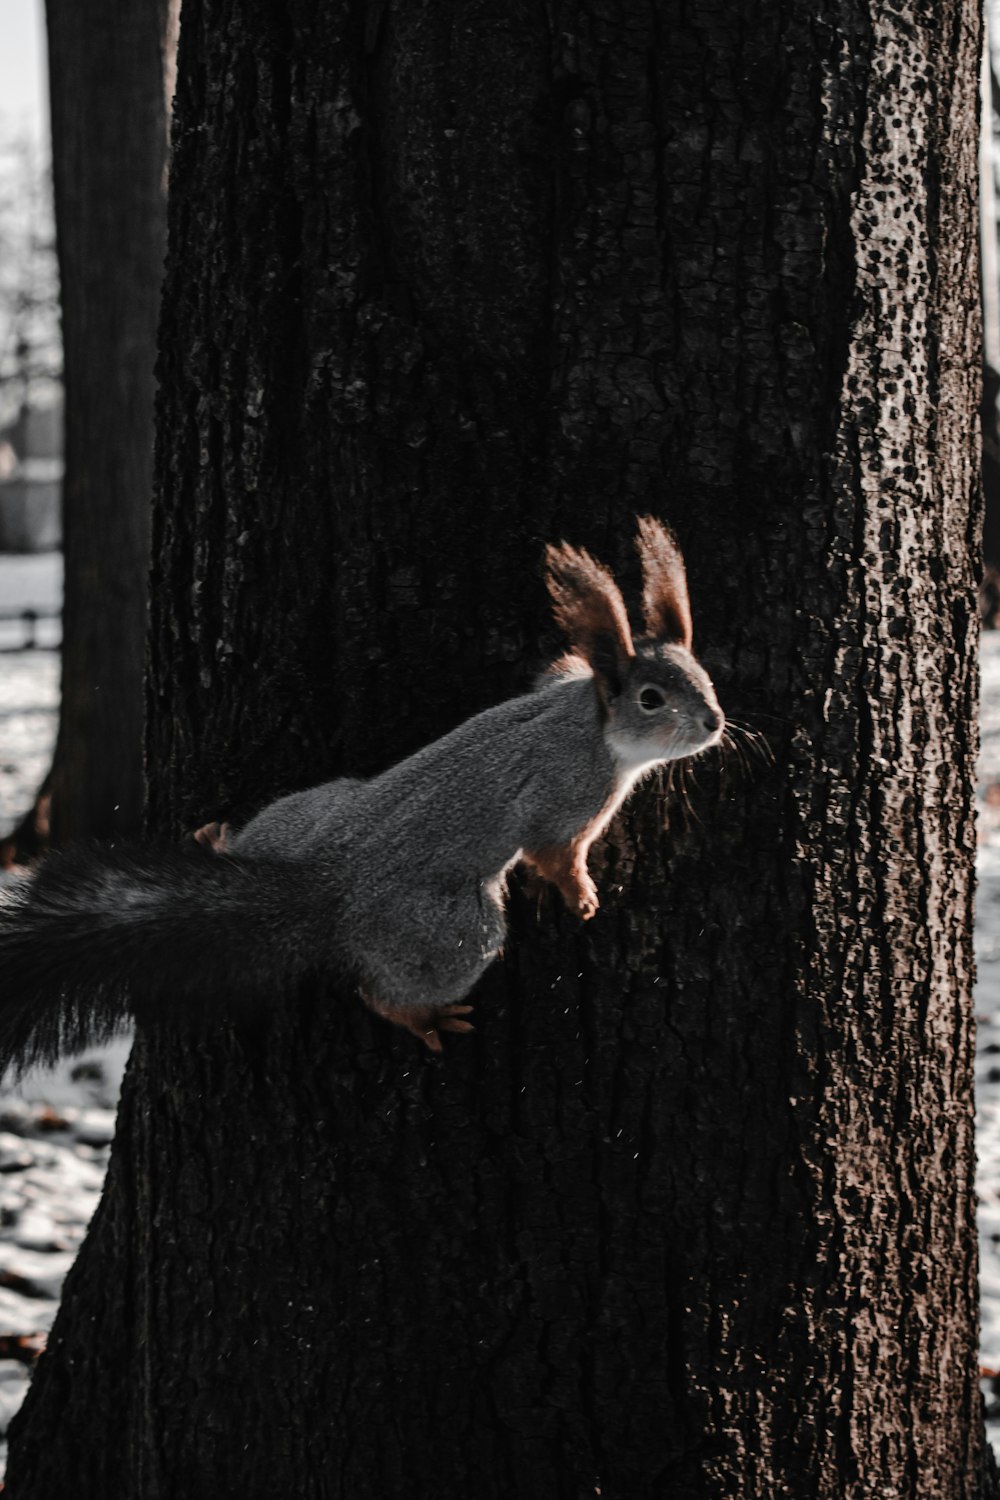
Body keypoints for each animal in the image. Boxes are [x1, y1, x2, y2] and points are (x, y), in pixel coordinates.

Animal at [0, 516, 722, 1068]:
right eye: (652, 700)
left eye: (703, 677)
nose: (716, 723)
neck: (591, 724)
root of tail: (326, 885)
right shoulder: (568, 794)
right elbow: (555, 853)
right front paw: (583, 896)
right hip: (451, 929)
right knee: (387, 991)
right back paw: (423, 1020)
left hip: (309, 809)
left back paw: (217, 837)